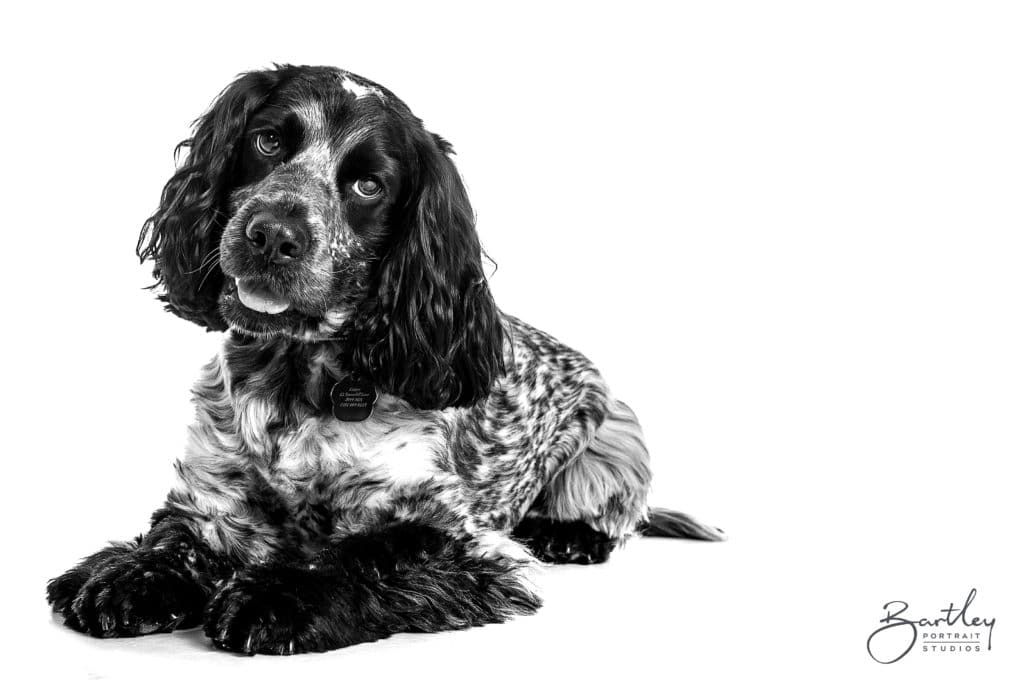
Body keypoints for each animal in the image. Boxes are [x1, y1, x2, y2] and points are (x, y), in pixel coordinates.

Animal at [44, 65, 724, 655]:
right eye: (268, 141)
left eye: (368, 185)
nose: (273, 234)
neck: (298, 378)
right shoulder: (212, 491)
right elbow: (175, 538)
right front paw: (124, 577)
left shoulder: (465, 542)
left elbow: (366, 557)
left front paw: (273, 598)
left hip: (616, 434)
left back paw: (568, 533)